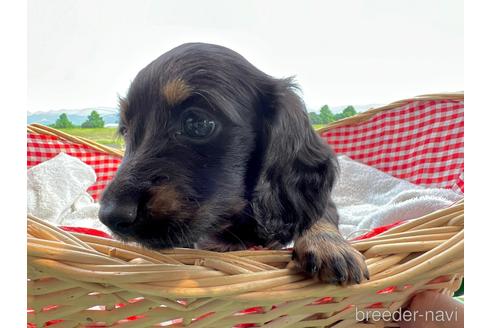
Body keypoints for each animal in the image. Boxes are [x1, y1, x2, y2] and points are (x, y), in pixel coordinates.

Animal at [99, 43, 368, 284]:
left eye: (198, 123)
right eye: (125, 130)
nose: (109, 216)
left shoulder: (318, 201)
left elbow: (317, 216)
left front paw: (329, 246)